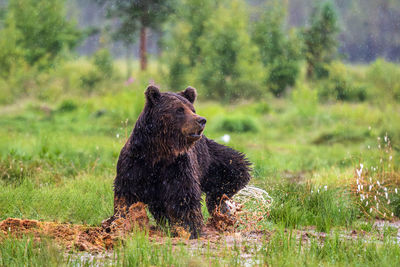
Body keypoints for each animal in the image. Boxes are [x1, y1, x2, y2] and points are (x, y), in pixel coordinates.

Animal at [110, 85, 250, 239]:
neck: (158, 153)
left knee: (236, 168)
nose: (201, 120)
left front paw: (190, 229)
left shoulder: (178, 166)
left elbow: (183, 196)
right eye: (179, 109)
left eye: (192, 109)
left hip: (209, 160)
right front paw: (123, 223)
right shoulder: (135, 163)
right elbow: (127, 197)